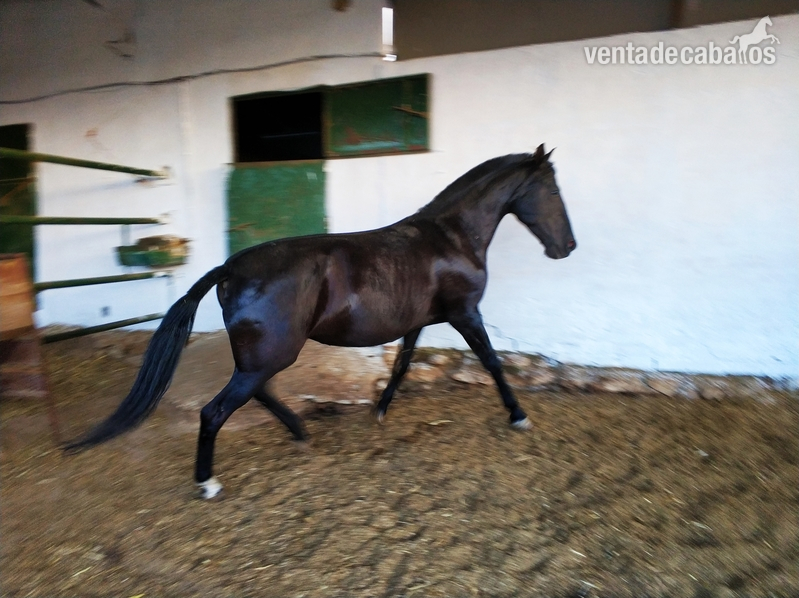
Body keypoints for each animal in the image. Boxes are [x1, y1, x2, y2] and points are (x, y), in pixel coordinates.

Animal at [65, 144, 577, 499]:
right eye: (552, 189)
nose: (566, 247)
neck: (449, 238)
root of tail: (230, 269)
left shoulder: (420, 321)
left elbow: (402, 365)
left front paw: (380, 411)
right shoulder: (465, 313)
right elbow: (491, 361)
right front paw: (518, 415)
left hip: (263, 356)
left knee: (257, 393)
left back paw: (299, 432)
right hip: (271, 354)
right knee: (216, 411)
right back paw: (208, 483)